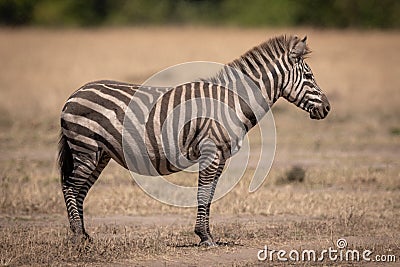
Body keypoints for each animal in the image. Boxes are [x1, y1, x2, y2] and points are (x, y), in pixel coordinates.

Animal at [57, 35, 330, 247]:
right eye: (309, 76)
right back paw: (78, 237)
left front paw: (206, 235)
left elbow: (209, 194)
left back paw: (84, 235)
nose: (327, 108)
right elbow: (203, 193)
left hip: (100, 153)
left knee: (80, 190)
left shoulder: (221, 155)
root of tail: (74, 94)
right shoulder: (211, 151)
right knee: (71, 187)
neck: (231, 101)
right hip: (86, 147)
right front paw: (204, 237)